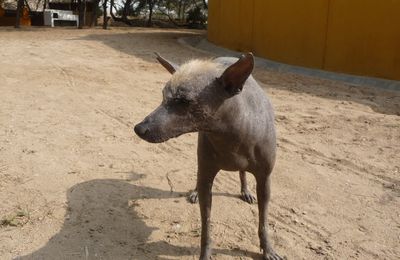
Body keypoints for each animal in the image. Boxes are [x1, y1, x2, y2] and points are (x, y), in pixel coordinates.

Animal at [134, 51, 282, 258]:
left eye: (184, 101)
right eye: (163, 96)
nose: (139, 128)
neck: (231, 133)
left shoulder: (265, 180)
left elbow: (263, 221)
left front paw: (267, 248)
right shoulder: (207, 177)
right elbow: (206, 226)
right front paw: (205, 253)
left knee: (242, 172)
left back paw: (245, 190)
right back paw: (196, 192)